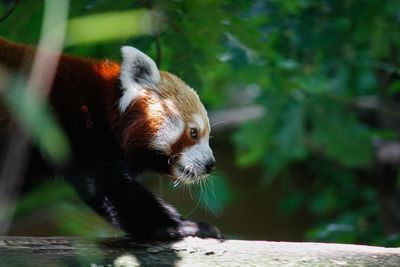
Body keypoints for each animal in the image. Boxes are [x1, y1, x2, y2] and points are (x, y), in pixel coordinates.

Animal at [0, 38, 220, 242]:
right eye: (193, 133)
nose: (210, 164)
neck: (101, 105)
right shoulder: (76, 129)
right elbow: (111, 185)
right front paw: (180, 225)